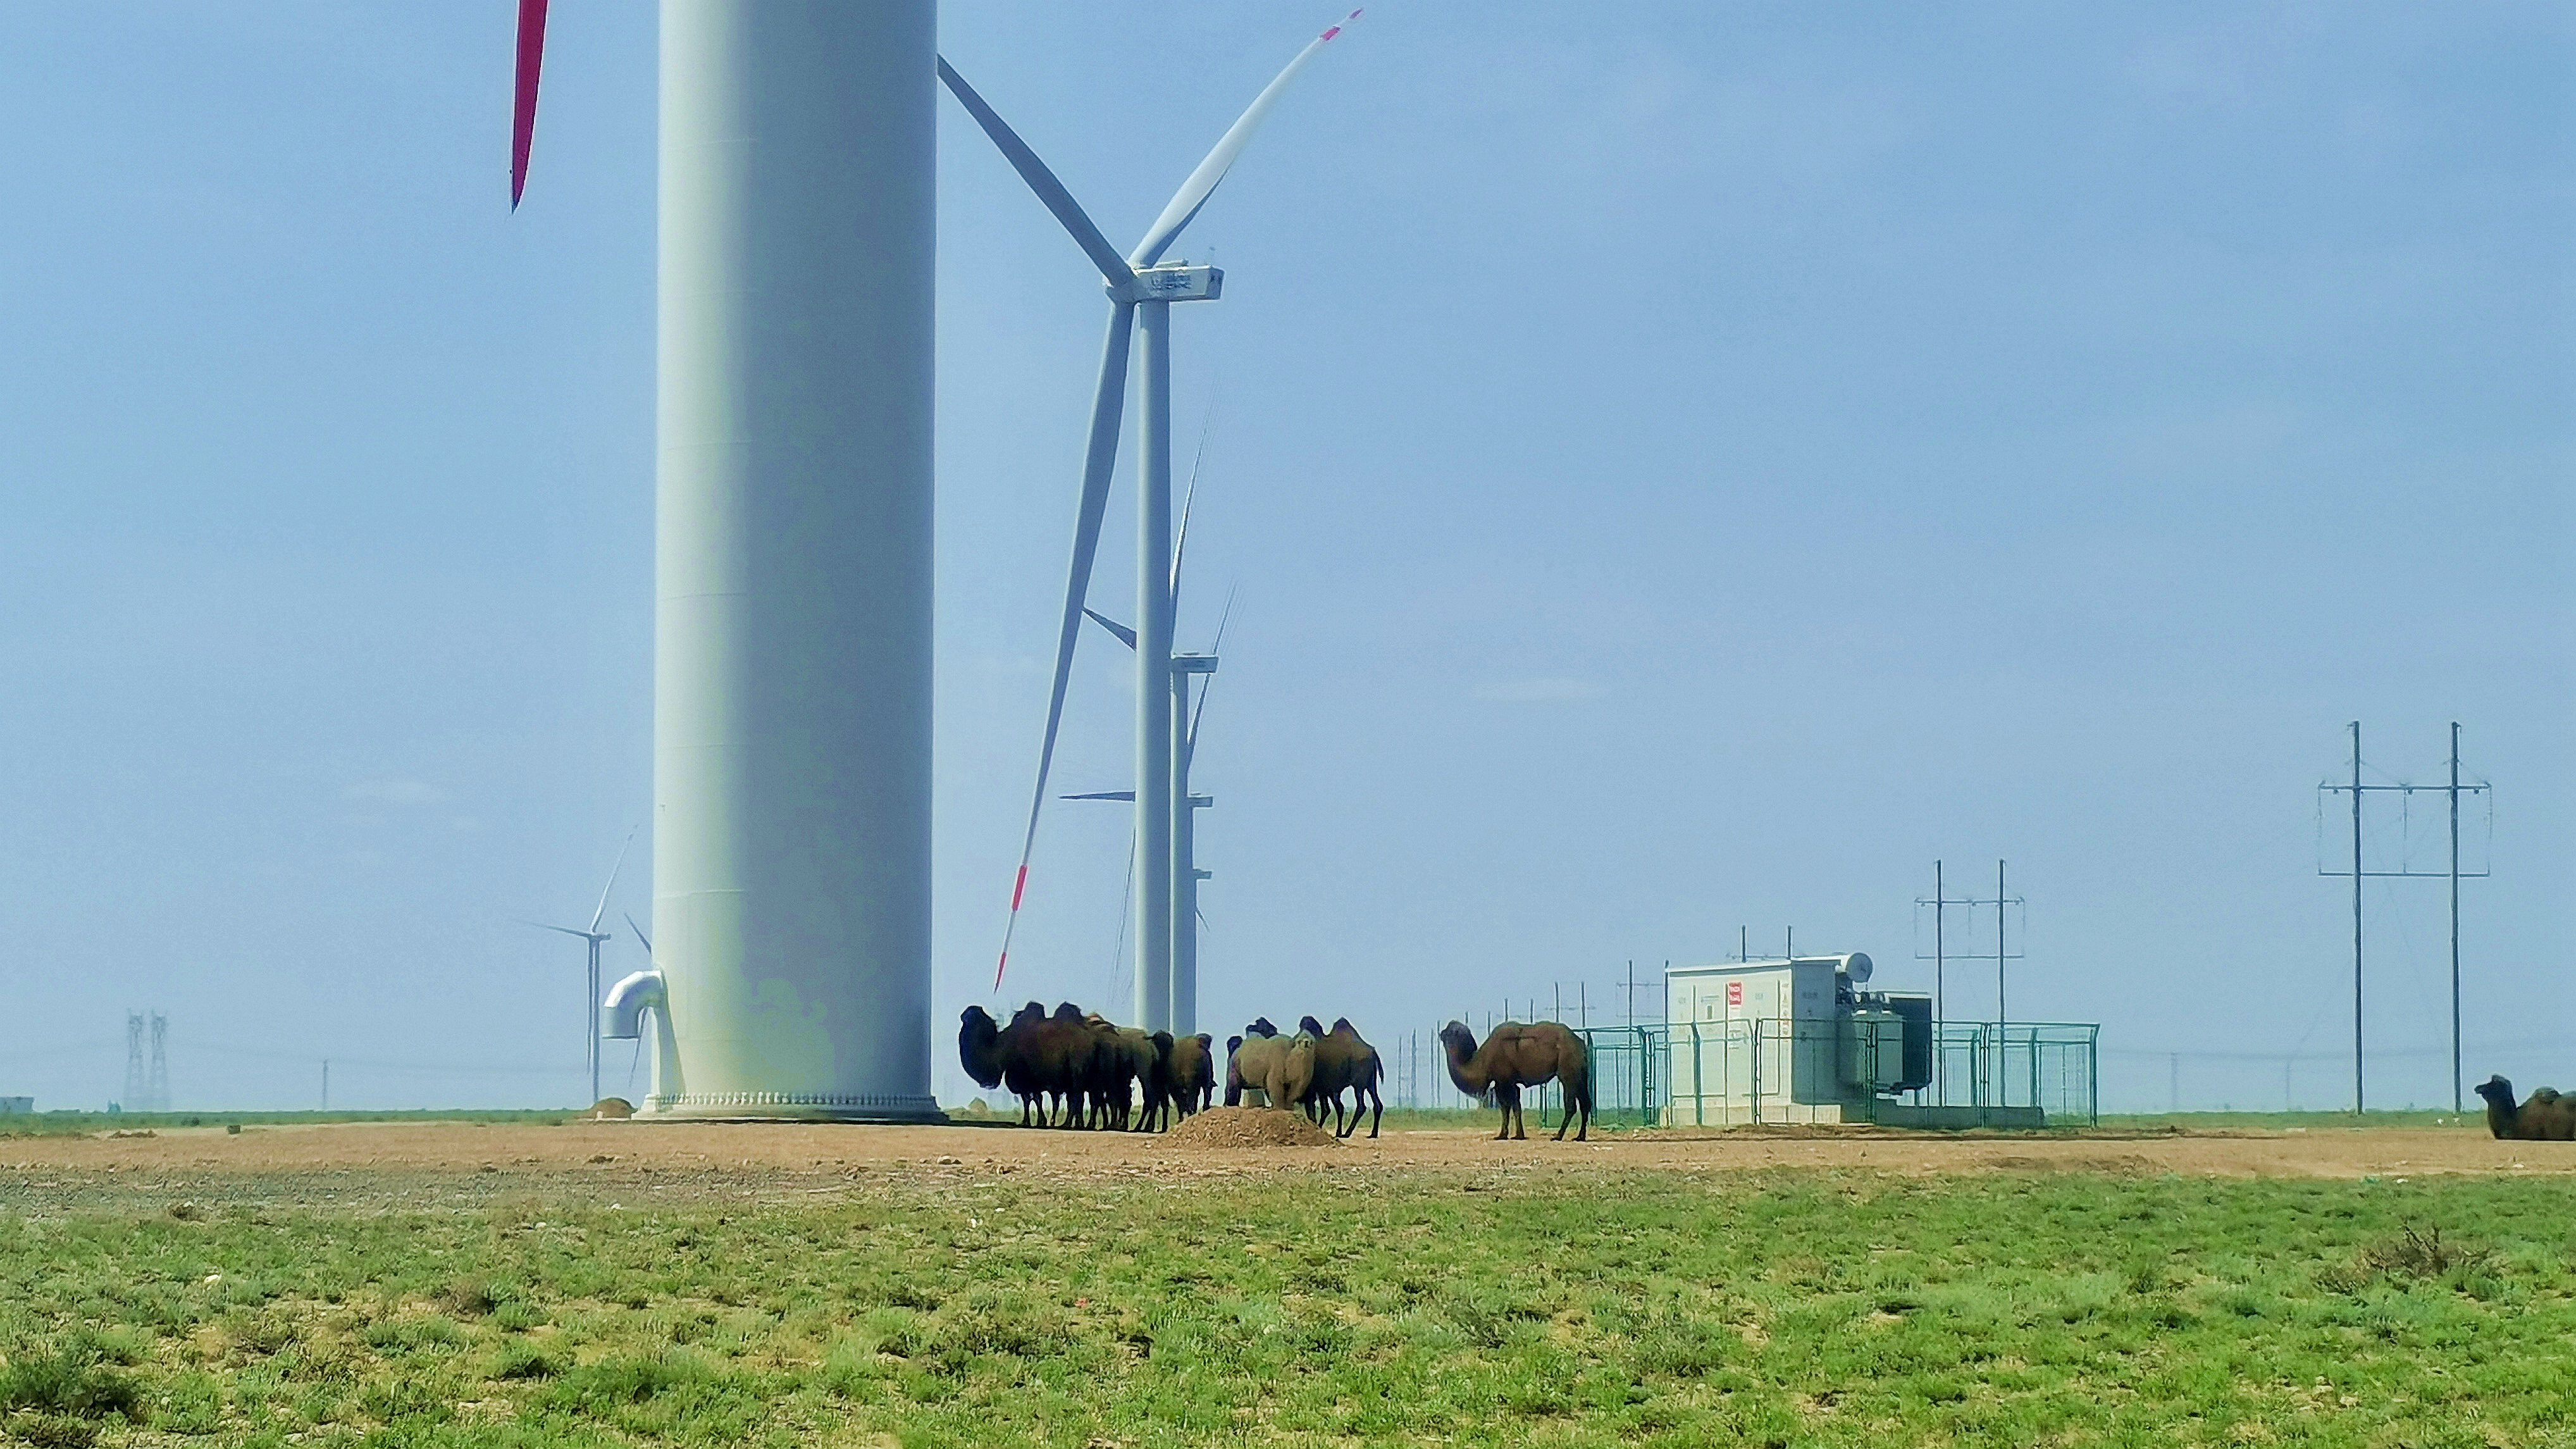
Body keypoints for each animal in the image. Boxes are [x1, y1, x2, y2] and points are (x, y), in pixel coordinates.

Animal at [1308, 1011, 1390, 1134]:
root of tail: (1373, 1052)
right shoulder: (1326, 1088)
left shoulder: (1322, 1087)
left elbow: (1328, 1108)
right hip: (1371, 1082)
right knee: (1377, 1103)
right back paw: (1372, 1134)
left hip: (1359, 1083)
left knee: (1361, 1105)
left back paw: (1347, 1133)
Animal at [1432, 1021, 1587, 1134]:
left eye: (1448, 1032)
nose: (1440, 1033)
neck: (1481, 1061)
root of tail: (1579, 1042)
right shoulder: (1509, 1083)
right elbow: (1515, 1106)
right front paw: (1518, 1134)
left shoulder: (1504, 1082)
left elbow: (1506, 1107)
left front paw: (1505, 1135)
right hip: (1581, 1074)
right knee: (1586, 1102)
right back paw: (1579, 1137)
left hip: (1568, 1072)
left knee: (1571, 1106)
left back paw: (1558, 1136)